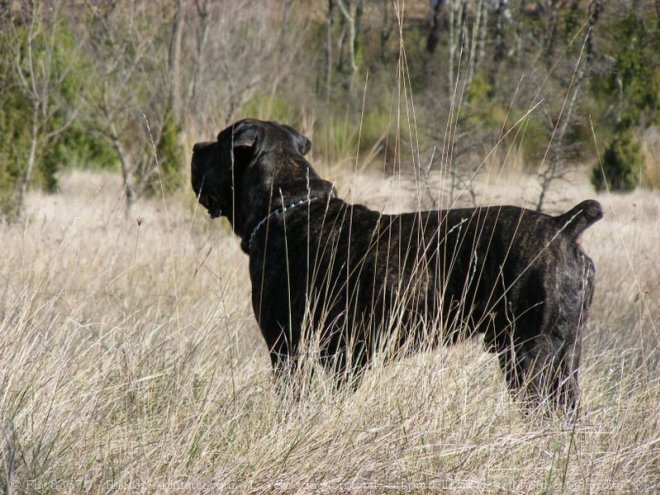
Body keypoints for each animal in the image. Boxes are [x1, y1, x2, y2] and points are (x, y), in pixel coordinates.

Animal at [192, 118, 604, 412]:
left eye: (219, 142)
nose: (196, 146)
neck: (289, 207)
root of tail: (563, 226)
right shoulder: (345, 358)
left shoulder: (286, 347)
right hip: (567, 355)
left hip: (529, 356)